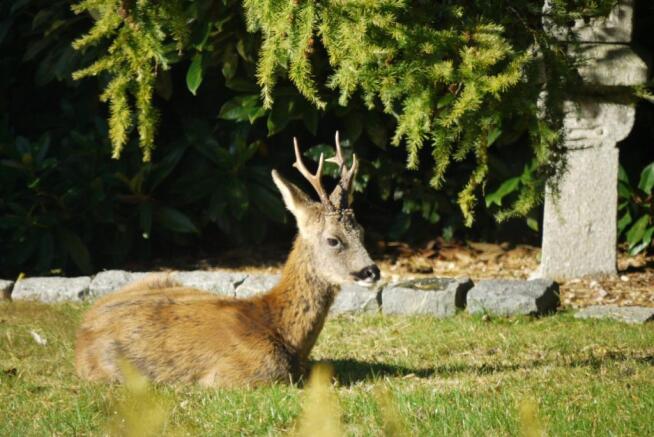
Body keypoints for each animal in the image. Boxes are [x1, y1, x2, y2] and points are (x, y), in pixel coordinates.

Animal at [75, 132, 380, 387]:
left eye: (362, 231)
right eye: (333, 239)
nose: (372, 272)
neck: (279, 329)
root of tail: (83, 329)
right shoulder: (232, 378)